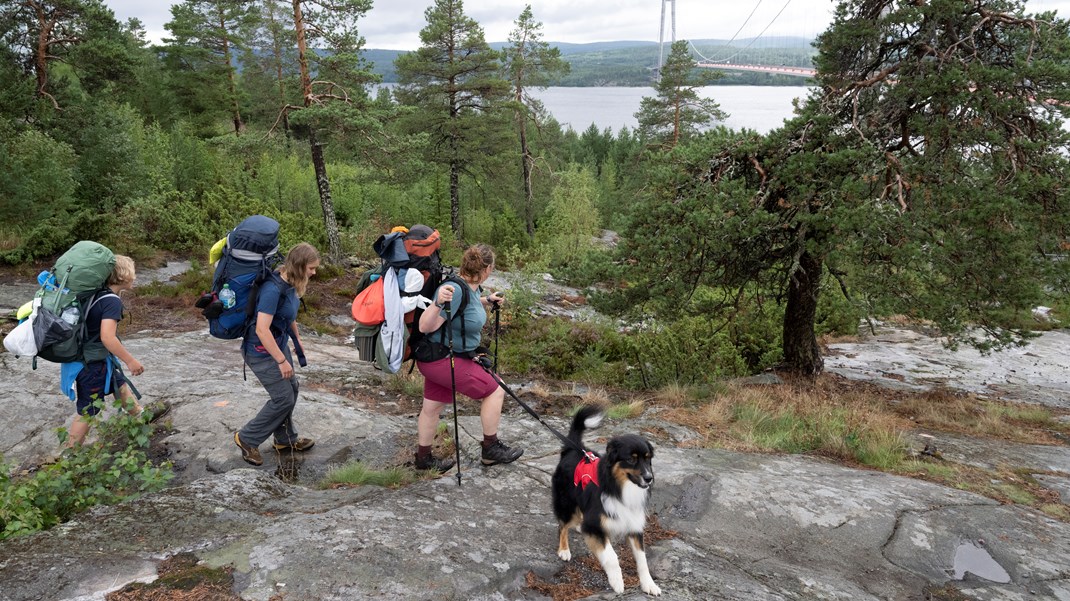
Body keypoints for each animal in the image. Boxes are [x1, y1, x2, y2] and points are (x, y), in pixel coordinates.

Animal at [552, 402, 659, 594]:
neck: (620, 488)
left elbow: (642, 560)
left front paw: (649, 584)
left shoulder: (634, 526)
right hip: (566, 504)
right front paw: (617, 581)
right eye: (631, 460)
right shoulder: (595, 526)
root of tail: (573, 449)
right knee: (562, 525)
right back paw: (564, 549)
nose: (649, 478)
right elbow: (611, 556)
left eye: (648, 459)